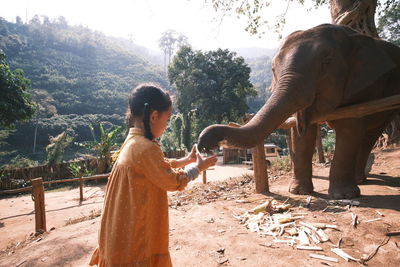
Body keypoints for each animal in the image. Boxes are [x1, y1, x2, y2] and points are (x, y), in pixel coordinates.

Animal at [198, 23, 400, 199]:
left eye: (327, 61)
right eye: (273, 68)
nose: (203, 144)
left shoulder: (362, 89)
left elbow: (349, 128)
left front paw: (343, 196)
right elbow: (301, 132)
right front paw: (299, 192)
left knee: (369, 136)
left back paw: (359, 181)